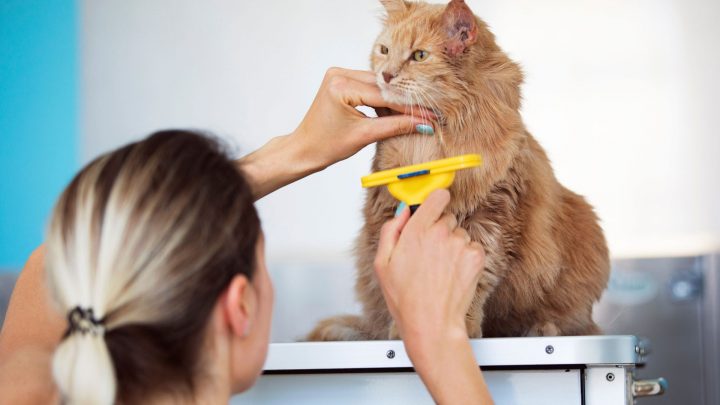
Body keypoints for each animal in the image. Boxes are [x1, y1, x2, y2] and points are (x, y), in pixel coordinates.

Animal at [306, 0, 612, 340]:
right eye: (384, 50)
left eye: (419, 55)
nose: (385, 75)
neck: (431, 143)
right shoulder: (386, 215)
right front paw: (405, 328)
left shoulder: (492, 219)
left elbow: (475, 283)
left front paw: (458, 326)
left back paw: (542, 329)